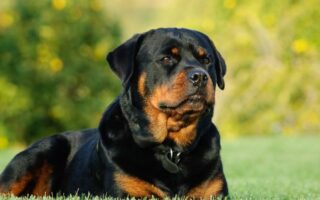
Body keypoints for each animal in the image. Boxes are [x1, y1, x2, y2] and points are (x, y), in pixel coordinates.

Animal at [0, 28, 230, 198]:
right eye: (166, 58)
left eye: (206, 60)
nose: (199, 76)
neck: (171, 149)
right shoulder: (127, 192)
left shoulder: (214, 193)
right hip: (44, 149)